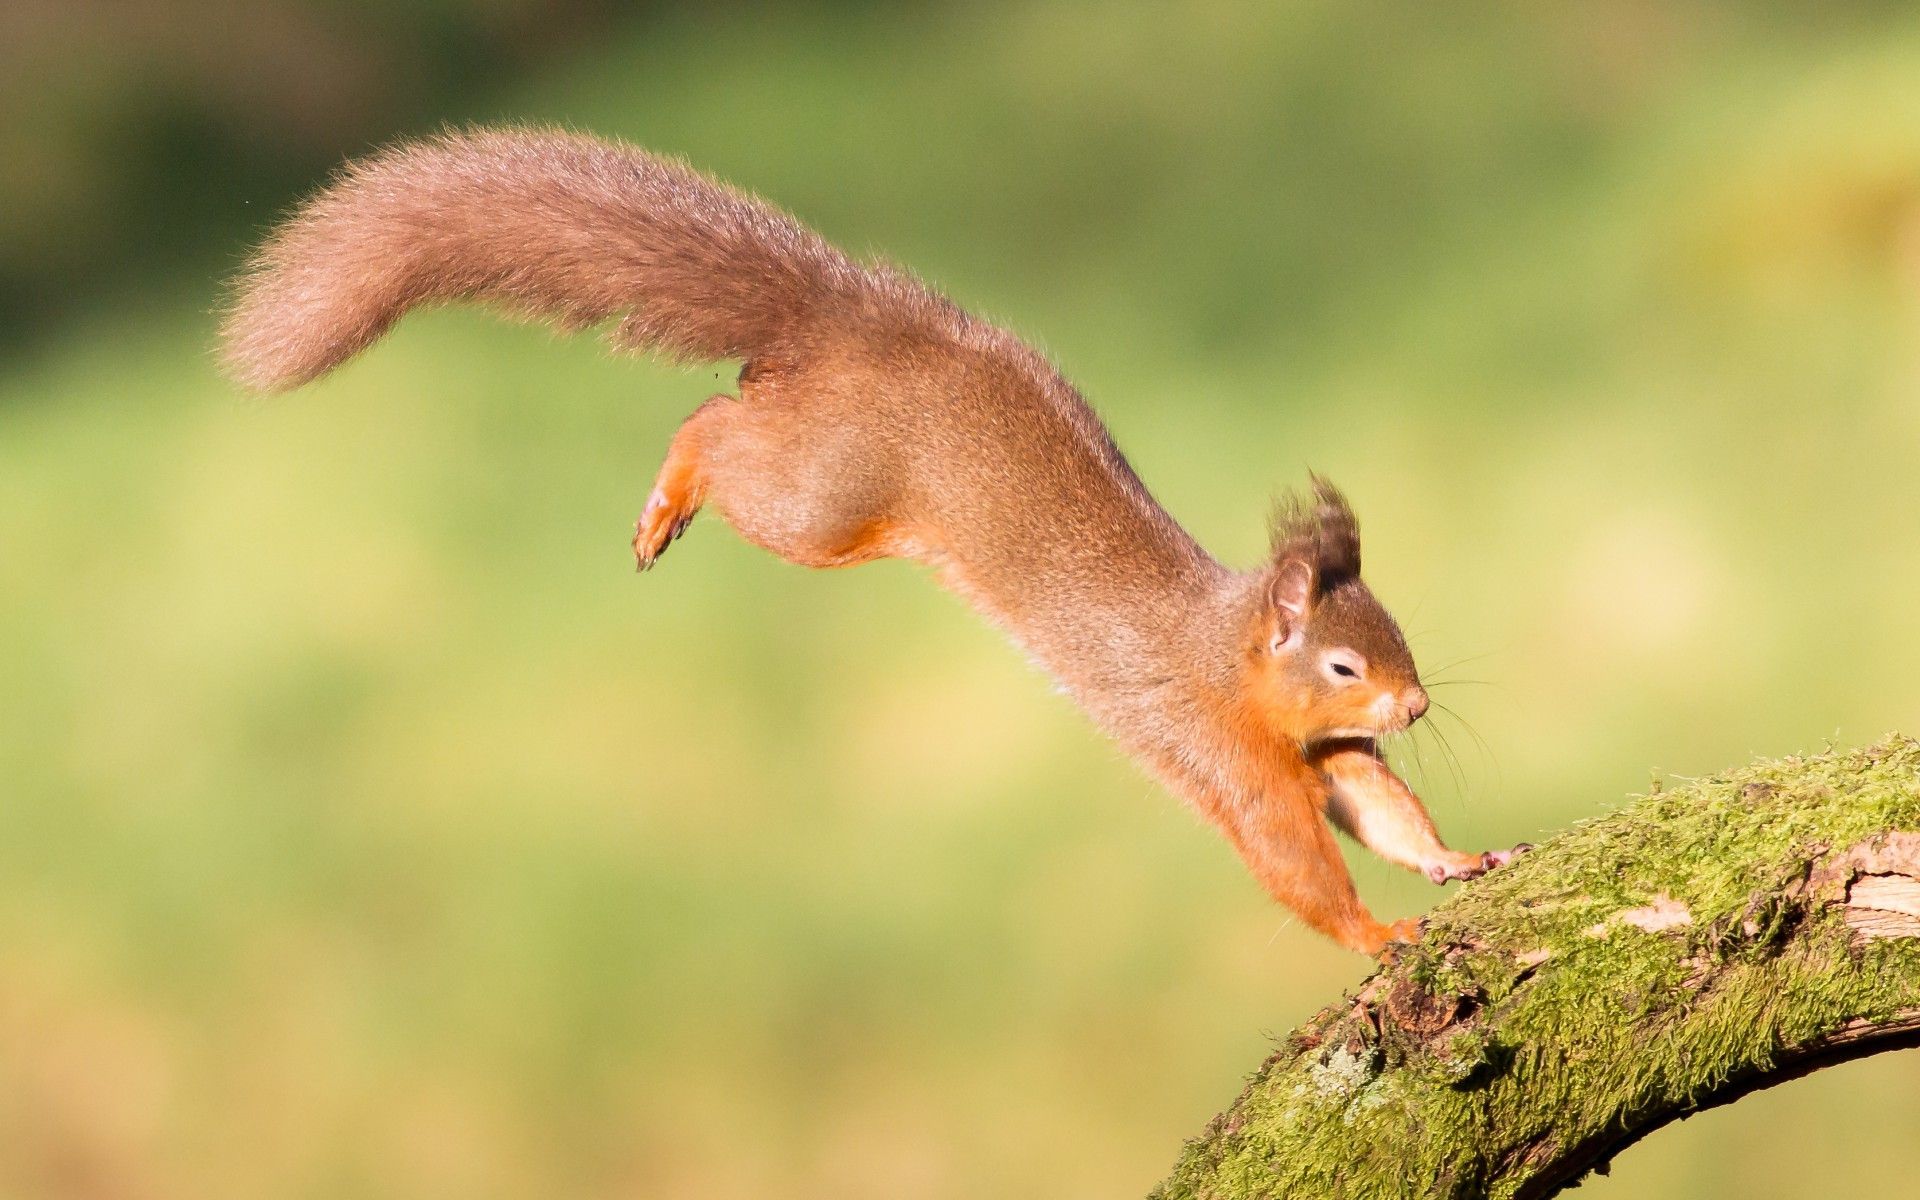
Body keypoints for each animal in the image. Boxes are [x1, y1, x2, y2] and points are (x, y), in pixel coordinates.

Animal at [221, 127, 1525, 957]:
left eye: (1396, 643)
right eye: (1345, 661)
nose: (1416, 705)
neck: (1229, 654)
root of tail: (849, 320)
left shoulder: (1323, 753)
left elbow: (1382, 810)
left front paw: (1455, 863)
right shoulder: (1224, 750)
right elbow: (1294, 863)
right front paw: (1381, 931)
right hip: (824, 502)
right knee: (716, 427)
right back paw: (669, 496)